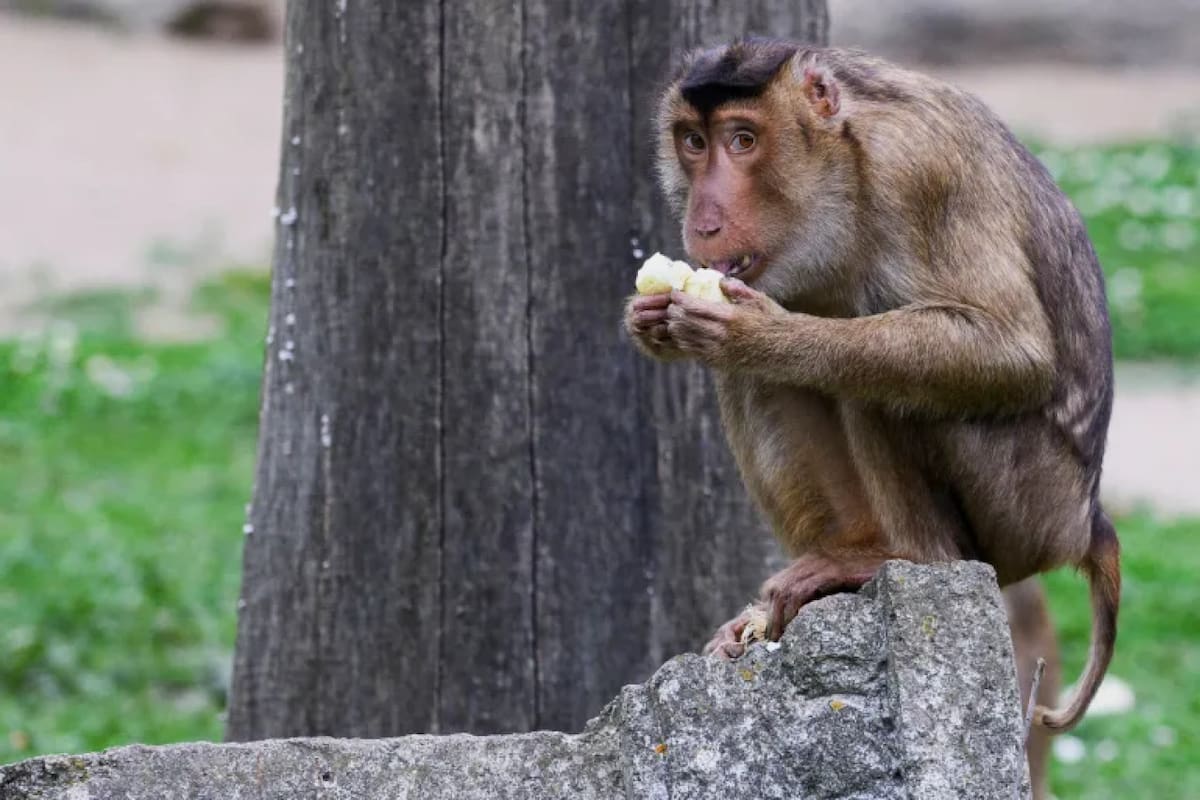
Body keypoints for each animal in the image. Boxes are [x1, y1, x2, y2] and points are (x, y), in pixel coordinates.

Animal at [624, 39, 1118, 746]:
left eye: (743, 140)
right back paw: (843, 560)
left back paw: (907, 557)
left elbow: (1012, 352)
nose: (705, 221)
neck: (845, 160)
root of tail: (1087, 520)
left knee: (880, 379)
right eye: (693, 142)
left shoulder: (920, 168)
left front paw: (758, 334)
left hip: (1028, 507)